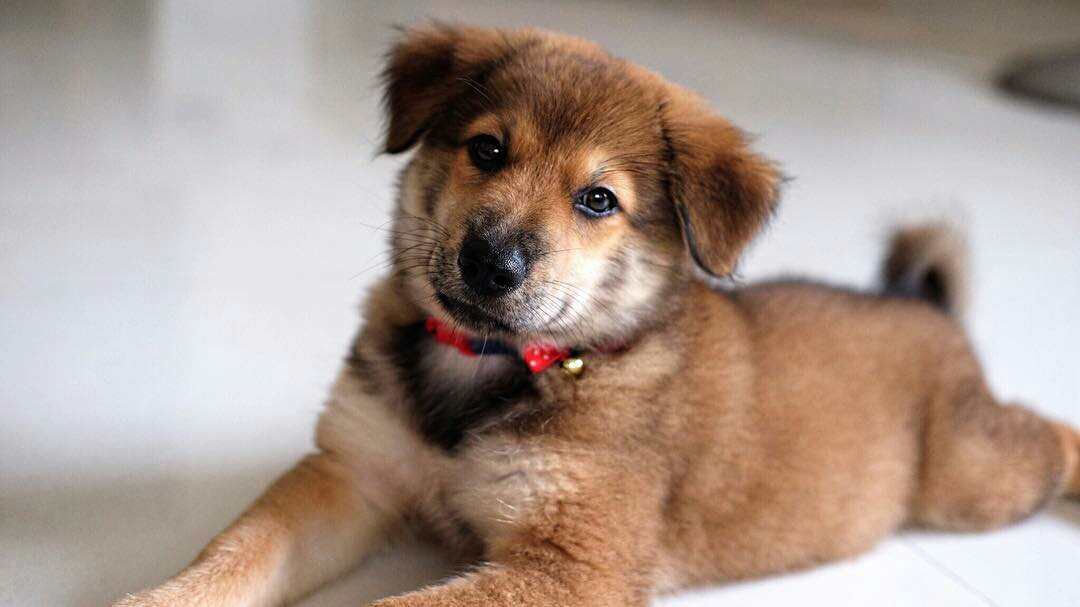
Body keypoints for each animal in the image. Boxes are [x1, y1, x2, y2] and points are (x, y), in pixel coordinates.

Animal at [115, 24, 1080, 607]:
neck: (494, 362)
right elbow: (233, 551)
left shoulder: (573, 562)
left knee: (1043, 435)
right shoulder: (352, 472)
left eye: (598, 200)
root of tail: (927, 314)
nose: (490, 261)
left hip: (970, 474)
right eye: (487, 149)